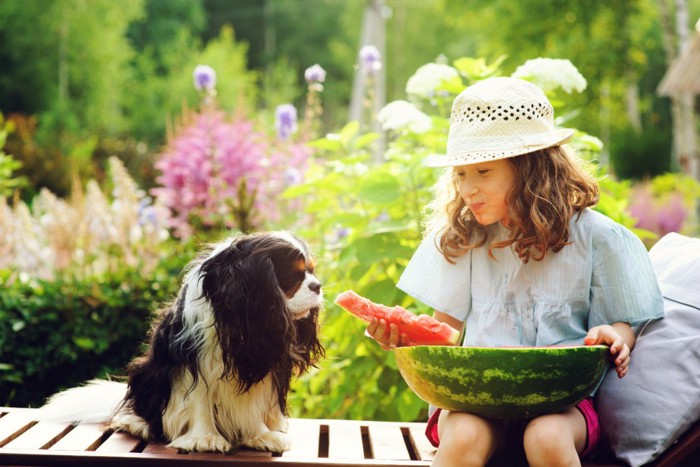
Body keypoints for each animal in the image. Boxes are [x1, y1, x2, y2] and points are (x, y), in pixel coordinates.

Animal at [42, 232, 326, 456]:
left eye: (311, 271)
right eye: (293, 274)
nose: (318, 285)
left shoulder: (263, 361)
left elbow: (252, 403)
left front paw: (260, 434)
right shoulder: (193, 358)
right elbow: (199, 399)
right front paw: (204, 439)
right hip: (146, 371)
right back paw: (138, 423)